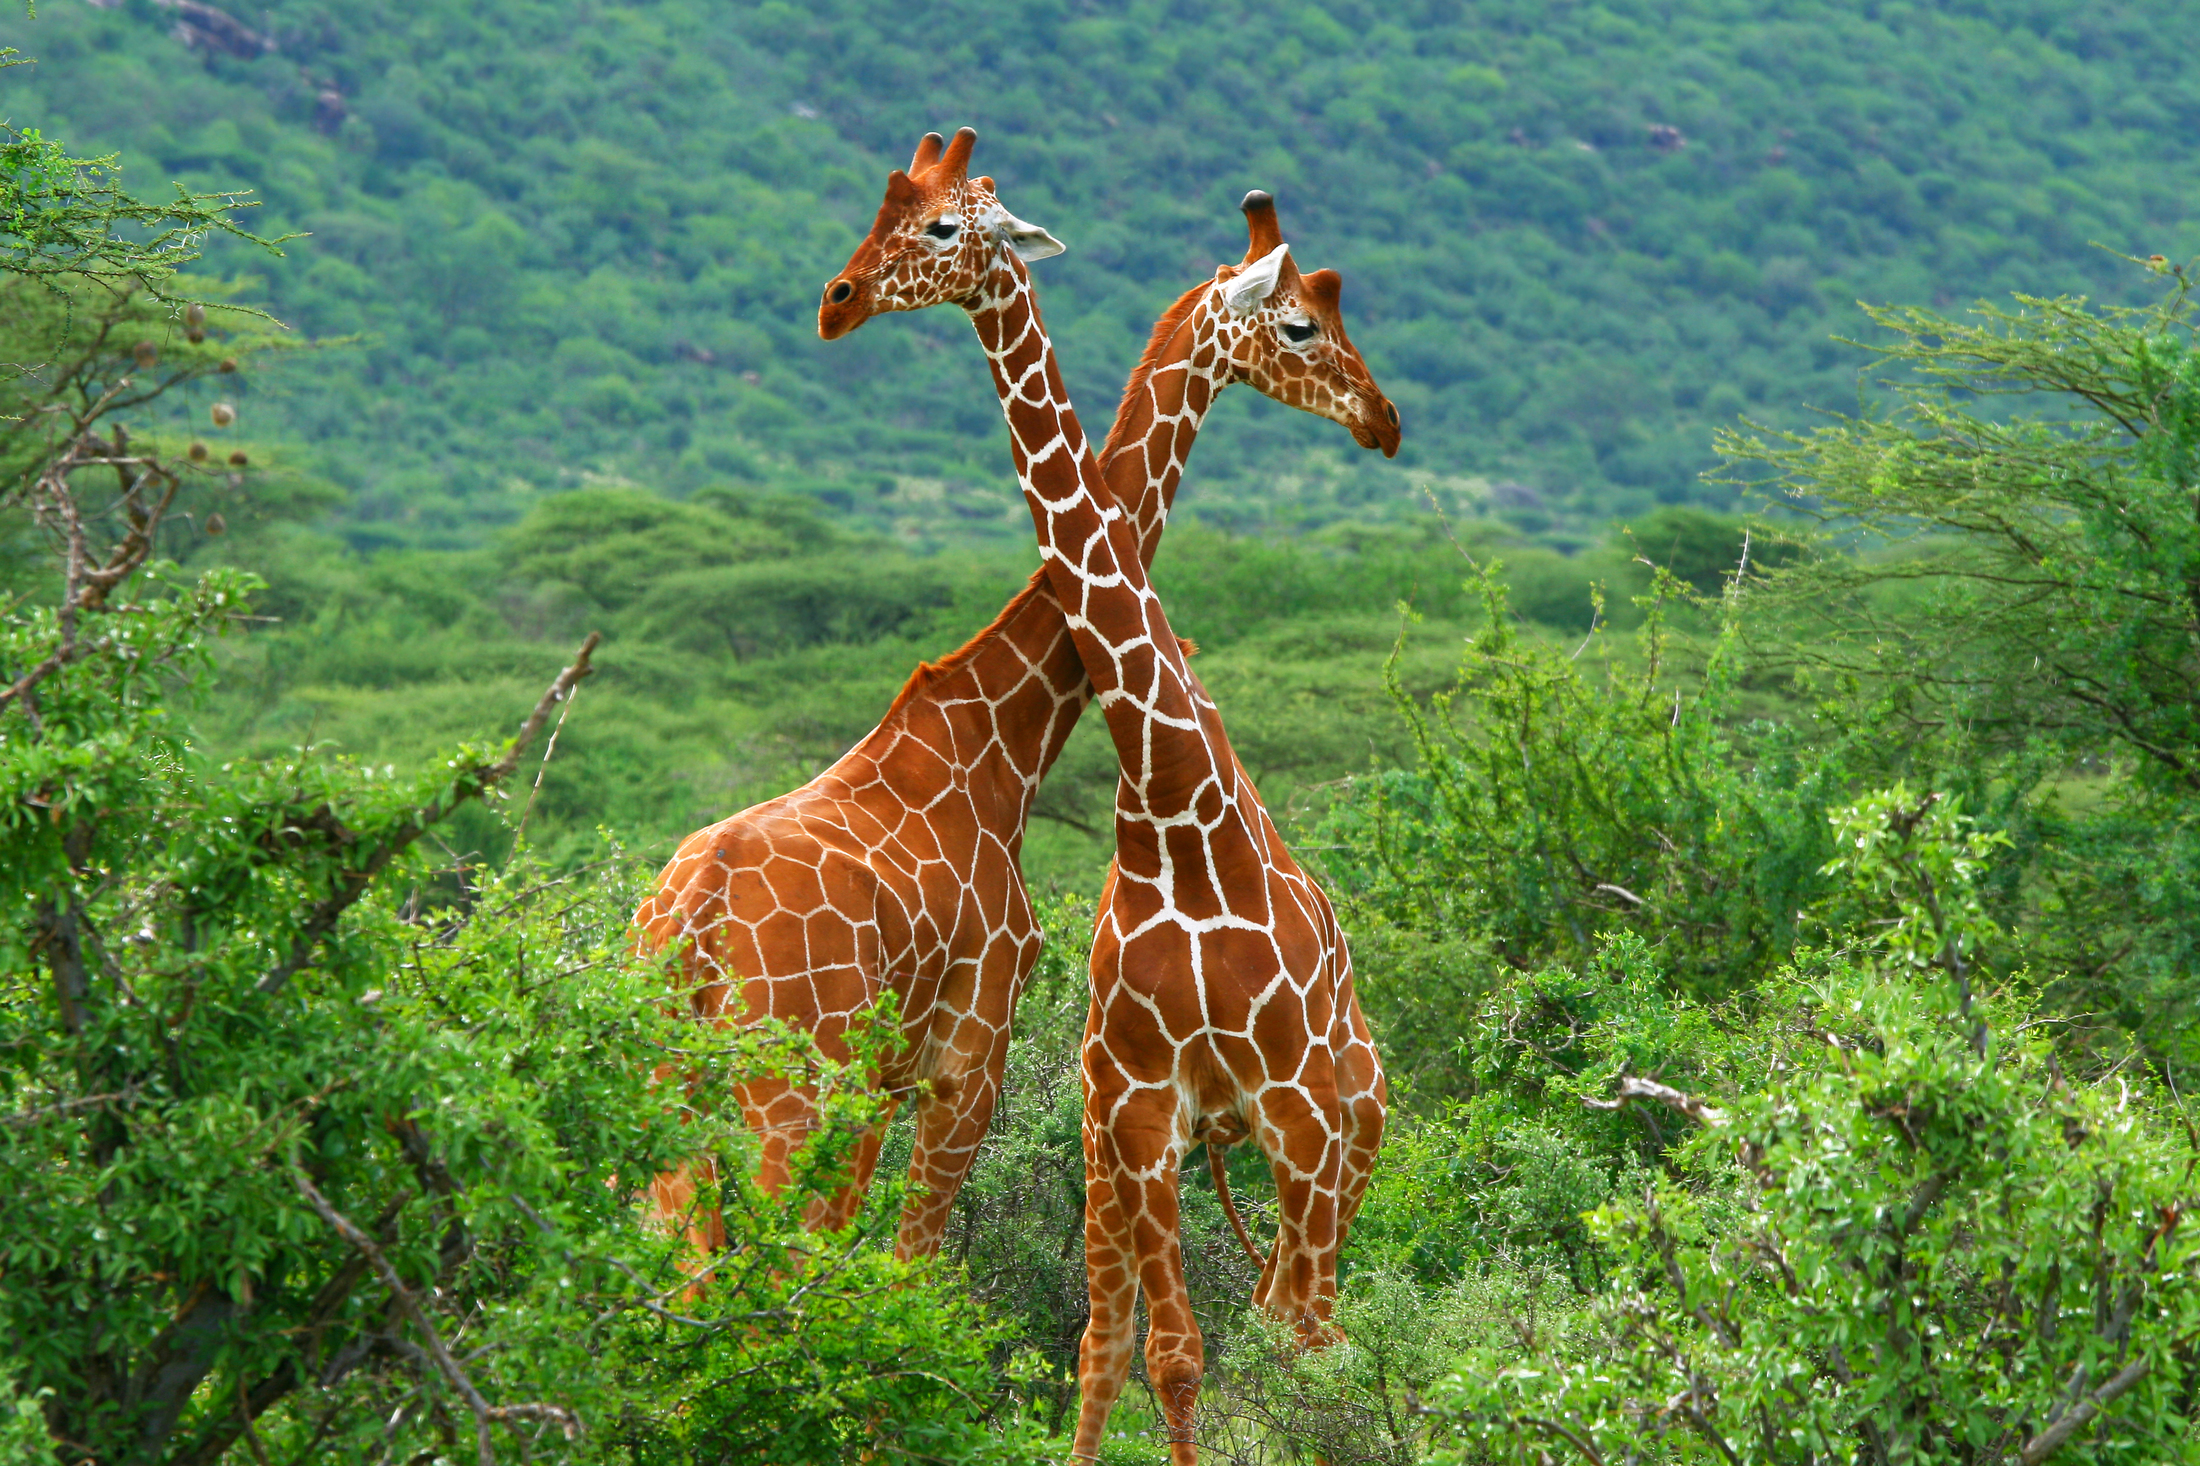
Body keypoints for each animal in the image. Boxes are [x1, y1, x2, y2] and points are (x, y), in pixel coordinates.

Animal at [633, 137, 1390, 1259]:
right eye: (1302, 322)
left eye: (934, 221)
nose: (1383, 417)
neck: (1004, 739)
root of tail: (690, 918)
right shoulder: (969, 1052)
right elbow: (908, 1263)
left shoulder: (893, 1073)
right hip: (786, 1085)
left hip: (670, 1079)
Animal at [827, 128, 1390, 1461]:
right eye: (1302, 323)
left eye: (940, 225)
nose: (1385, 420)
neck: (1175, 805)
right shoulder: (1133, 1103)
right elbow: (1161, 1350)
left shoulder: (1291, 1105)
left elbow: (1274, 1343)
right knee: (1155, 1326)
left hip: (1347, 1126)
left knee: (1315, 1320)